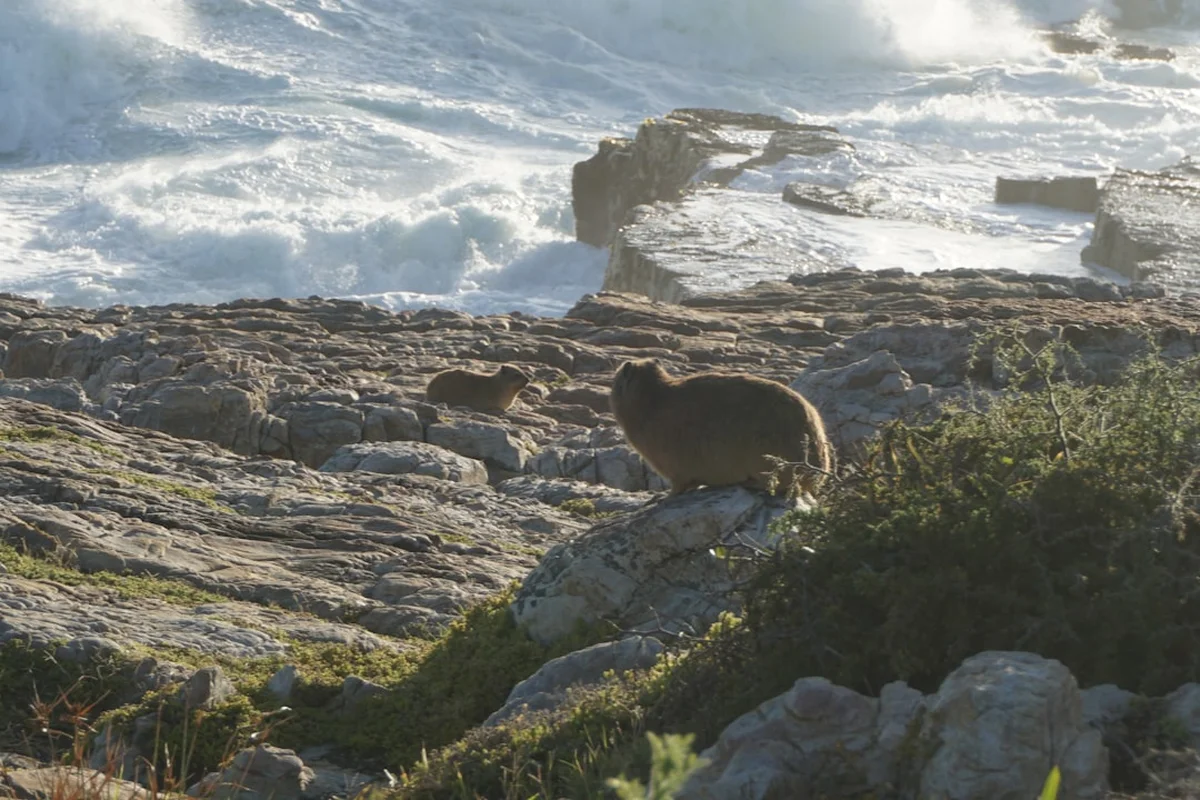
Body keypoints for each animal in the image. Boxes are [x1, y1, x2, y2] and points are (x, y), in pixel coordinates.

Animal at [610, 358, 832, 497]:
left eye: (616, 382)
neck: (649, 400)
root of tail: (818, 473)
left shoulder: (676, 469)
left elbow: (678, 487)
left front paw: (660, 498)